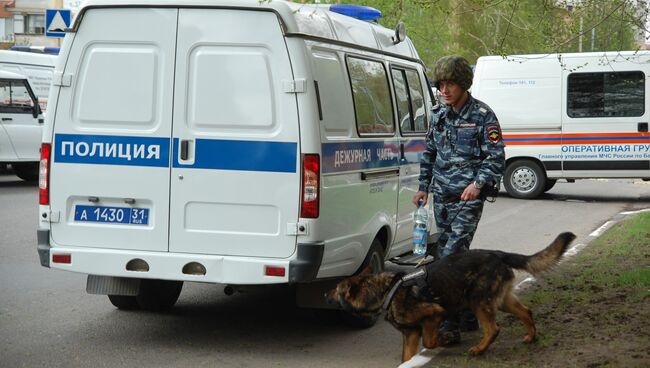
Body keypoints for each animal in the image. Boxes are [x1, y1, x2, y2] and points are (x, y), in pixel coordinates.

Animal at [326, 233, 576, 362]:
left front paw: (445, 339)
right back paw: (531, 337)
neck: (387, 290)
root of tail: (497, 253)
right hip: (502, 301)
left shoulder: (433, 315)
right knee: (526, 311)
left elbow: (430, 341)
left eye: (334, 289)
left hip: (477, 302)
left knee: (493, 329)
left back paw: (480, 349)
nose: (324, 294)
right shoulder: (410, 335)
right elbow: (406, 358)